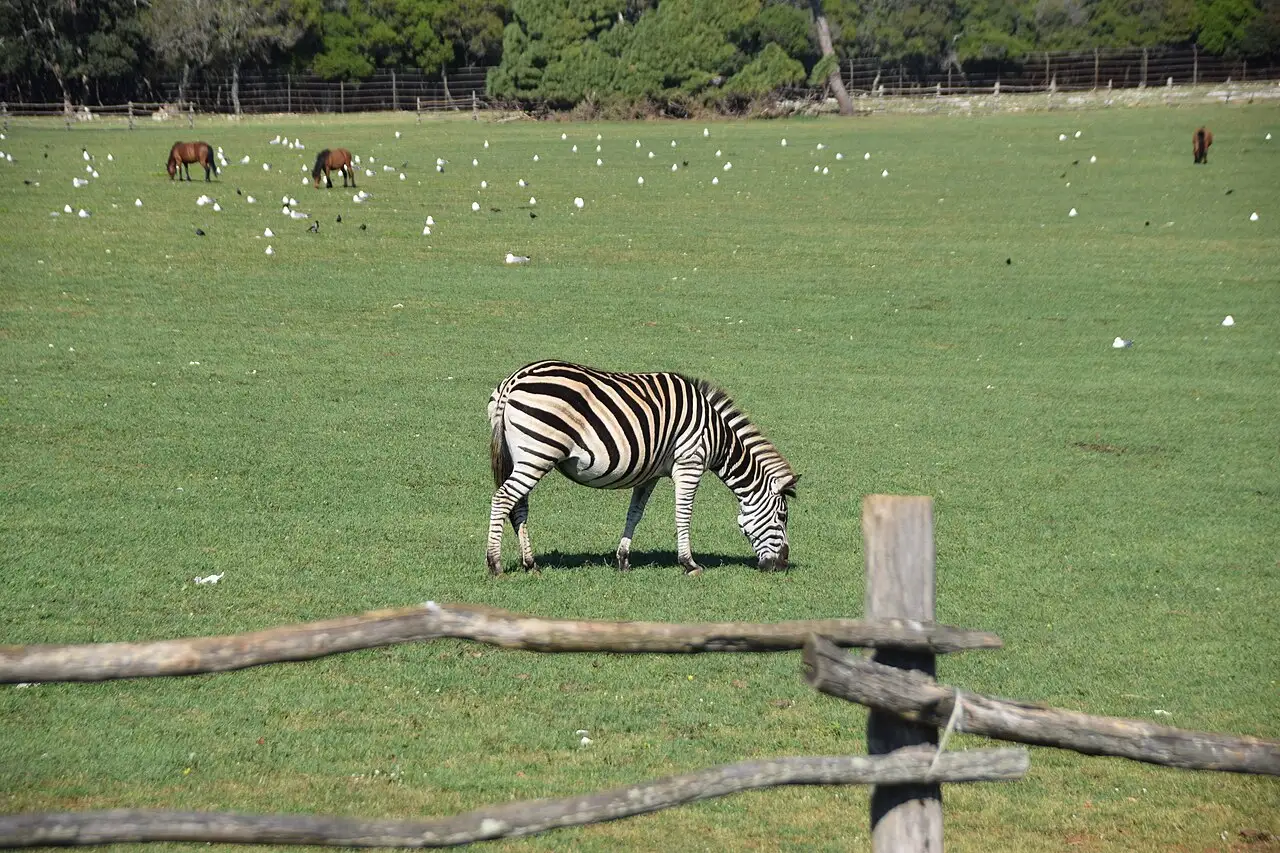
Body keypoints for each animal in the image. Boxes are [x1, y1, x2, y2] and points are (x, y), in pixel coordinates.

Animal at [486, 360, 799, 576]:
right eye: (783, 517)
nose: (782, 565)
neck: (716, 434)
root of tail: (513, 380)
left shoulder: (649, 474)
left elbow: (635, 514)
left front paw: (623, 560)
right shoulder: (690, 463)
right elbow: (683, 514)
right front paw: (689, 563)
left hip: (523, 457)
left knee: (519, 506)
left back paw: (531, 564)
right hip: (538, 453)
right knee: (503, 499)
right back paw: (495, 564)